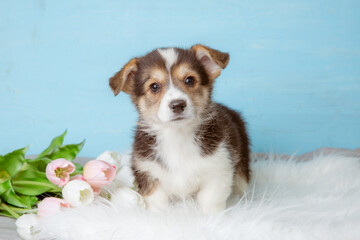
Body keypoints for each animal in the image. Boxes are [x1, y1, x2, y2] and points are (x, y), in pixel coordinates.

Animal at [109, 45, 250, 214]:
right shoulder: (149, 173)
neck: (177, 136)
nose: (177, 105)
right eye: (154, 86)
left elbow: (211, 203)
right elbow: (158, 204)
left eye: (190, 80)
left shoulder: (218, 170)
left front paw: (213, 218)